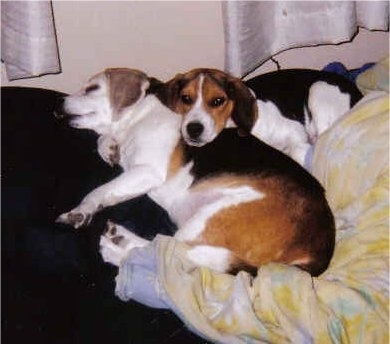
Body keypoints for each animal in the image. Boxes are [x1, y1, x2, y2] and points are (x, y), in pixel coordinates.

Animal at [57, 68, 336, 276]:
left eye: (91, 89)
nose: (59, 104)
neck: (139, 116)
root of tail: (321, 249)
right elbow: (105, 147)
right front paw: (109, 148)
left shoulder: (147, 171)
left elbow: (97, 192)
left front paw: (79, 212)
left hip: (208, 217)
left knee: (171, 252)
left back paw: (118, 246)